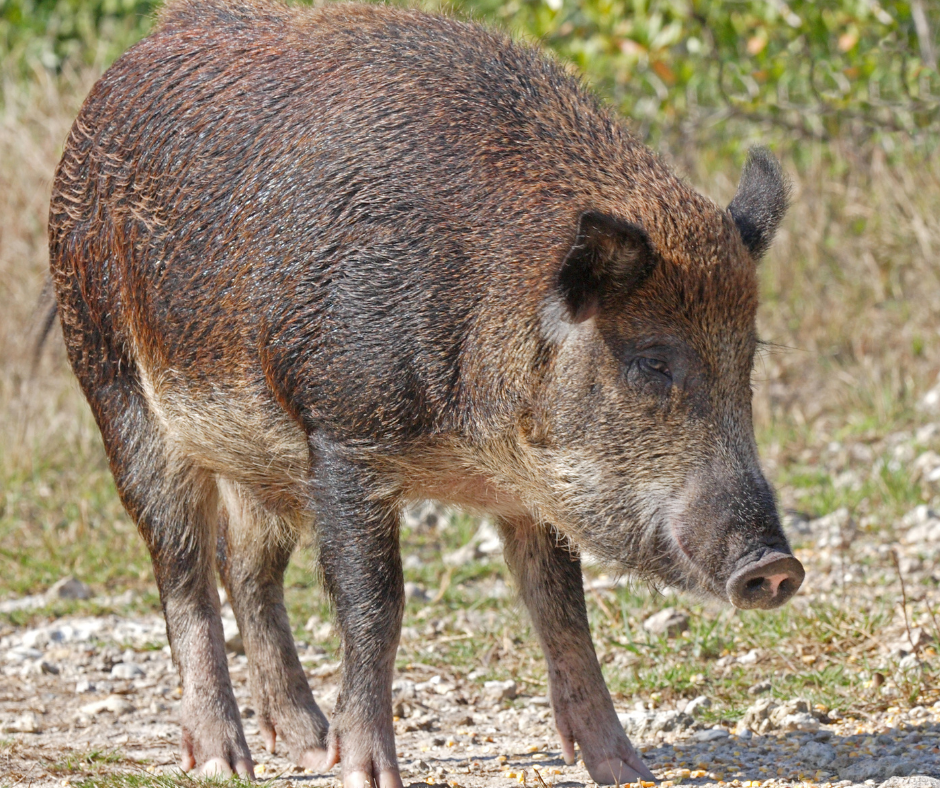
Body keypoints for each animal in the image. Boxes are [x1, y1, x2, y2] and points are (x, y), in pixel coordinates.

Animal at [48, 0, 804, 785]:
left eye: (746, 358)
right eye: (653, 362)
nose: (776, 566)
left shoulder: (529, 489)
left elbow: (562, 612)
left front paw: (627, 771)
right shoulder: (343, 434)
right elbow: (377, 605)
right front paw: (366, 772)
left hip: (262, 458)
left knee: (247, 568)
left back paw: (306, 743)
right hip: (112, 379)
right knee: (183, 568)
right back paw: (226, 763)